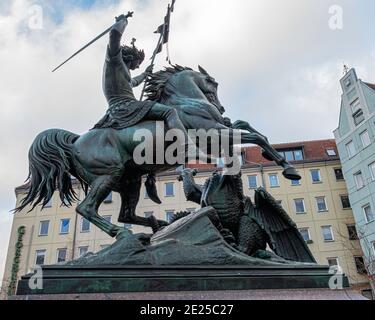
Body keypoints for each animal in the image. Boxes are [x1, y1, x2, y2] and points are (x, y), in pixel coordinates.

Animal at [16, 64, 302, 238]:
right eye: (213, 82)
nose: (221, 108)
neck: (186, 102)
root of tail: (74, 142)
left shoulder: (222, 131)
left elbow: (247, 127)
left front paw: (281, 162)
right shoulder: (214, 137)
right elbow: (255, 135)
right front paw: (289, 168)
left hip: (130, 181)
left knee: (126, 213)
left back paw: (160, 224)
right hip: (108, 175)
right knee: (87, 209)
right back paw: (121, 232)